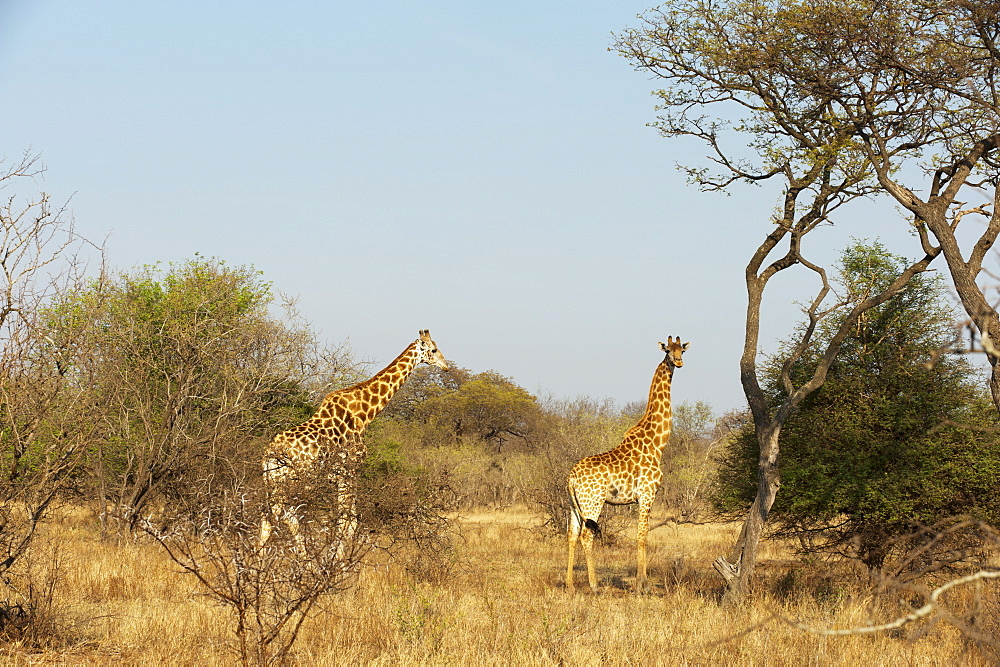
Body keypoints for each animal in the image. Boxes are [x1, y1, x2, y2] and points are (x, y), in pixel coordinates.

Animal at [258, 328, 450, 548]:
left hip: (276, 481)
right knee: (277, 517)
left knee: (277, 517)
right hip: (289, 481)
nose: (446, 366)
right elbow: (349, 523)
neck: (364, 414)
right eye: (433, 350)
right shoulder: (350, 470)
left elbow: (346, 521)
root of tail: (269, 454)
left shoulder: (341, 476)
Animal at [568, 336, 692, 592]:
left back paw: (569, 584)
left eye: (682, 350)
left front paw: (641, 583)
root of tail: (570, 477)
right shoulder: (647, 494)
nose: (678, 362)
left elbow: (643, 535)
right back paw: (594, 585)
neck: (657, 443)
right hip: (593, 503)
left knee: (572, 536)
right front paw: (641, 585)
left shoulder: (643, 497)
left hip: (573, 505)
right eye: (668, 350)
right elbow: (642, 536)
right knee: (587, 536)